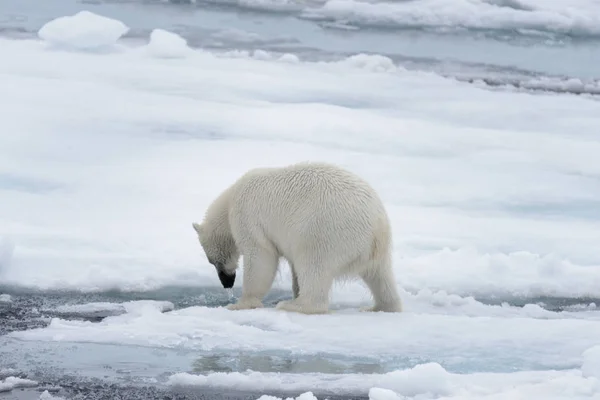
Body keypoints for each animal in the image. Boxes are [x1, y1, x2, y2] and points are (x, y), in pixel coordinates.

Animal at [191, 161, 398, 314]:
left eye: (213, 261)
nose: (227, 282)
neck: (229, 202)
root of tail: (377, 226)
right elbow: (292, 269)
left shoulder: (248, 218)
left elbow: (260, 258)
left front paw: (240, 303)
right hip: (378, 248)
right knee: (381, 276)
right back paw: (380, 307)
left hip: (326, 231)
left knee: (313, 265)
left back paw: (294, 305)